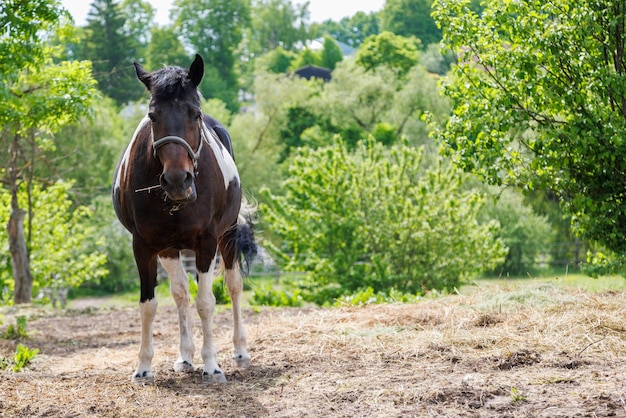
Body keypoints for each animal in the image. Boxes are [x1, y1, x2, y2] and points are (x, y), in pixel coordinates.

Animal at [111, 54, 255, 384]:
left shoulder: (207, 243)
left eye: (194, 113)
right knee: (180, 293)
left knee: (233, 285)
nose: (178, 180)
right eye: (152, 116)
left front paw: (212, 365)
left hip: (227, 235)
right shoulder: (145, 246)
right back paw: (185, 356)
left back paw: (240, 351)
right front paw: (143, 367)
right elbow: (150, 305)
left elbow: (206, 303)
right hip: (169, 249)